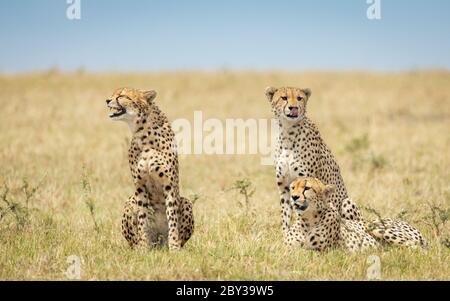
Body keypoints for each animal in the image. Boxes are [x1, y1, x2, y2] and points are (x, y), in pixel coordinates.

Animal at [109, 87, 195, 251]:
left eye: (122, 96)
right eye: (112, 94)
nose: (107, 100)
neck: (142, 132)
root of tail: (159, 245)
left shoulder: (169, 185)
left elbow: (172, 217)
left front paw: (174, 247)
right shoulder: (140, 186)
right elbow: (142, 219)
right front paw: (143, 248)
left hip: (186, 202)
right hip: (130, 201)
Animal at [266, 85, 360, 240]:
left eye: (299, 98)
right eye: (284, 97)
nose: (293, 108)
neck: (287, 133)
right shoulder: (284, 187)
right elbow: (285, 215)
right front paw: (286, 236)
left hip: (347, 202)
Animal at [286, 176, 428, 251]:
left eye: (307, 188)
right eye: (293, 188)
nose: (294, 197)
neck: (307, 220)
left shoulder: (323, 252)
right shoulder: (289, 251)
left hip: (375, 227)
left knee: (415, 248)